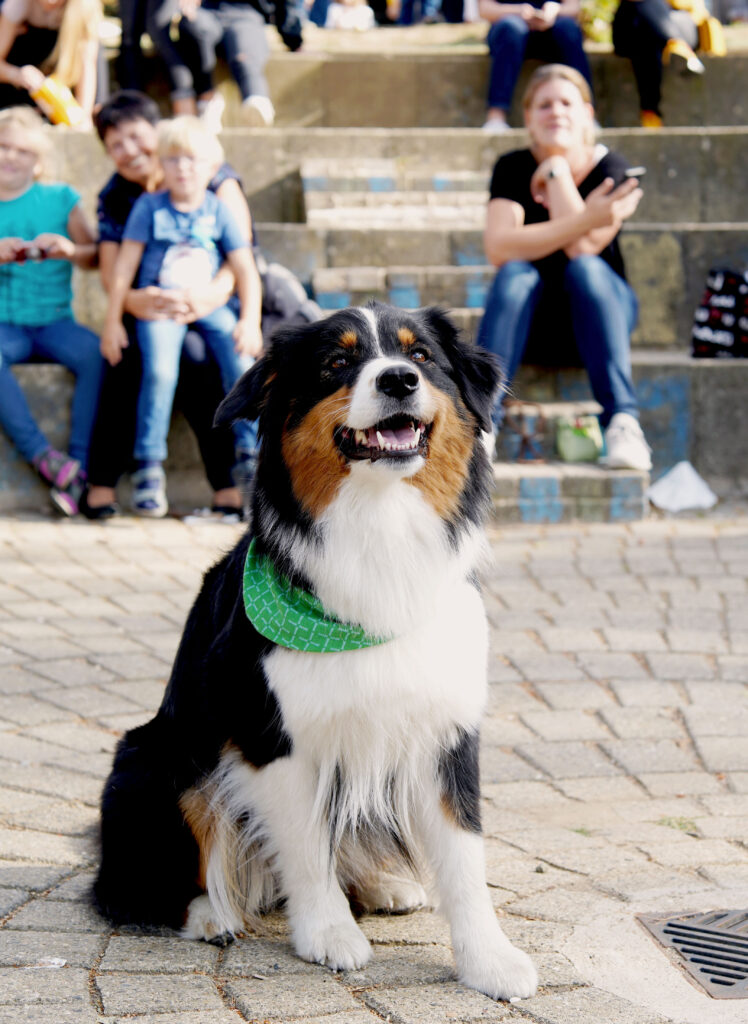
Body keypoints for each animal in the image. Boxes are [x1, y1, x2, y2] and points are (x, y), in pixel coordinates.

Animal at [91, 301, 536, 999]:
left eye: (422, 356)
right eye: (336, 363)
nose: (399, 380)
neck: (379, 532)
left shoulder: (447, 728)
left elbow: (464, 854)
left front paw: (489, 960)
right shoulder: (270, 735)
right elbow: (304, 845)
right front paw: (328, 934)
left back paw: (383, 884)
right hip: (150, 759)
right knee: (130, 884)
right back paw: (208, 912)